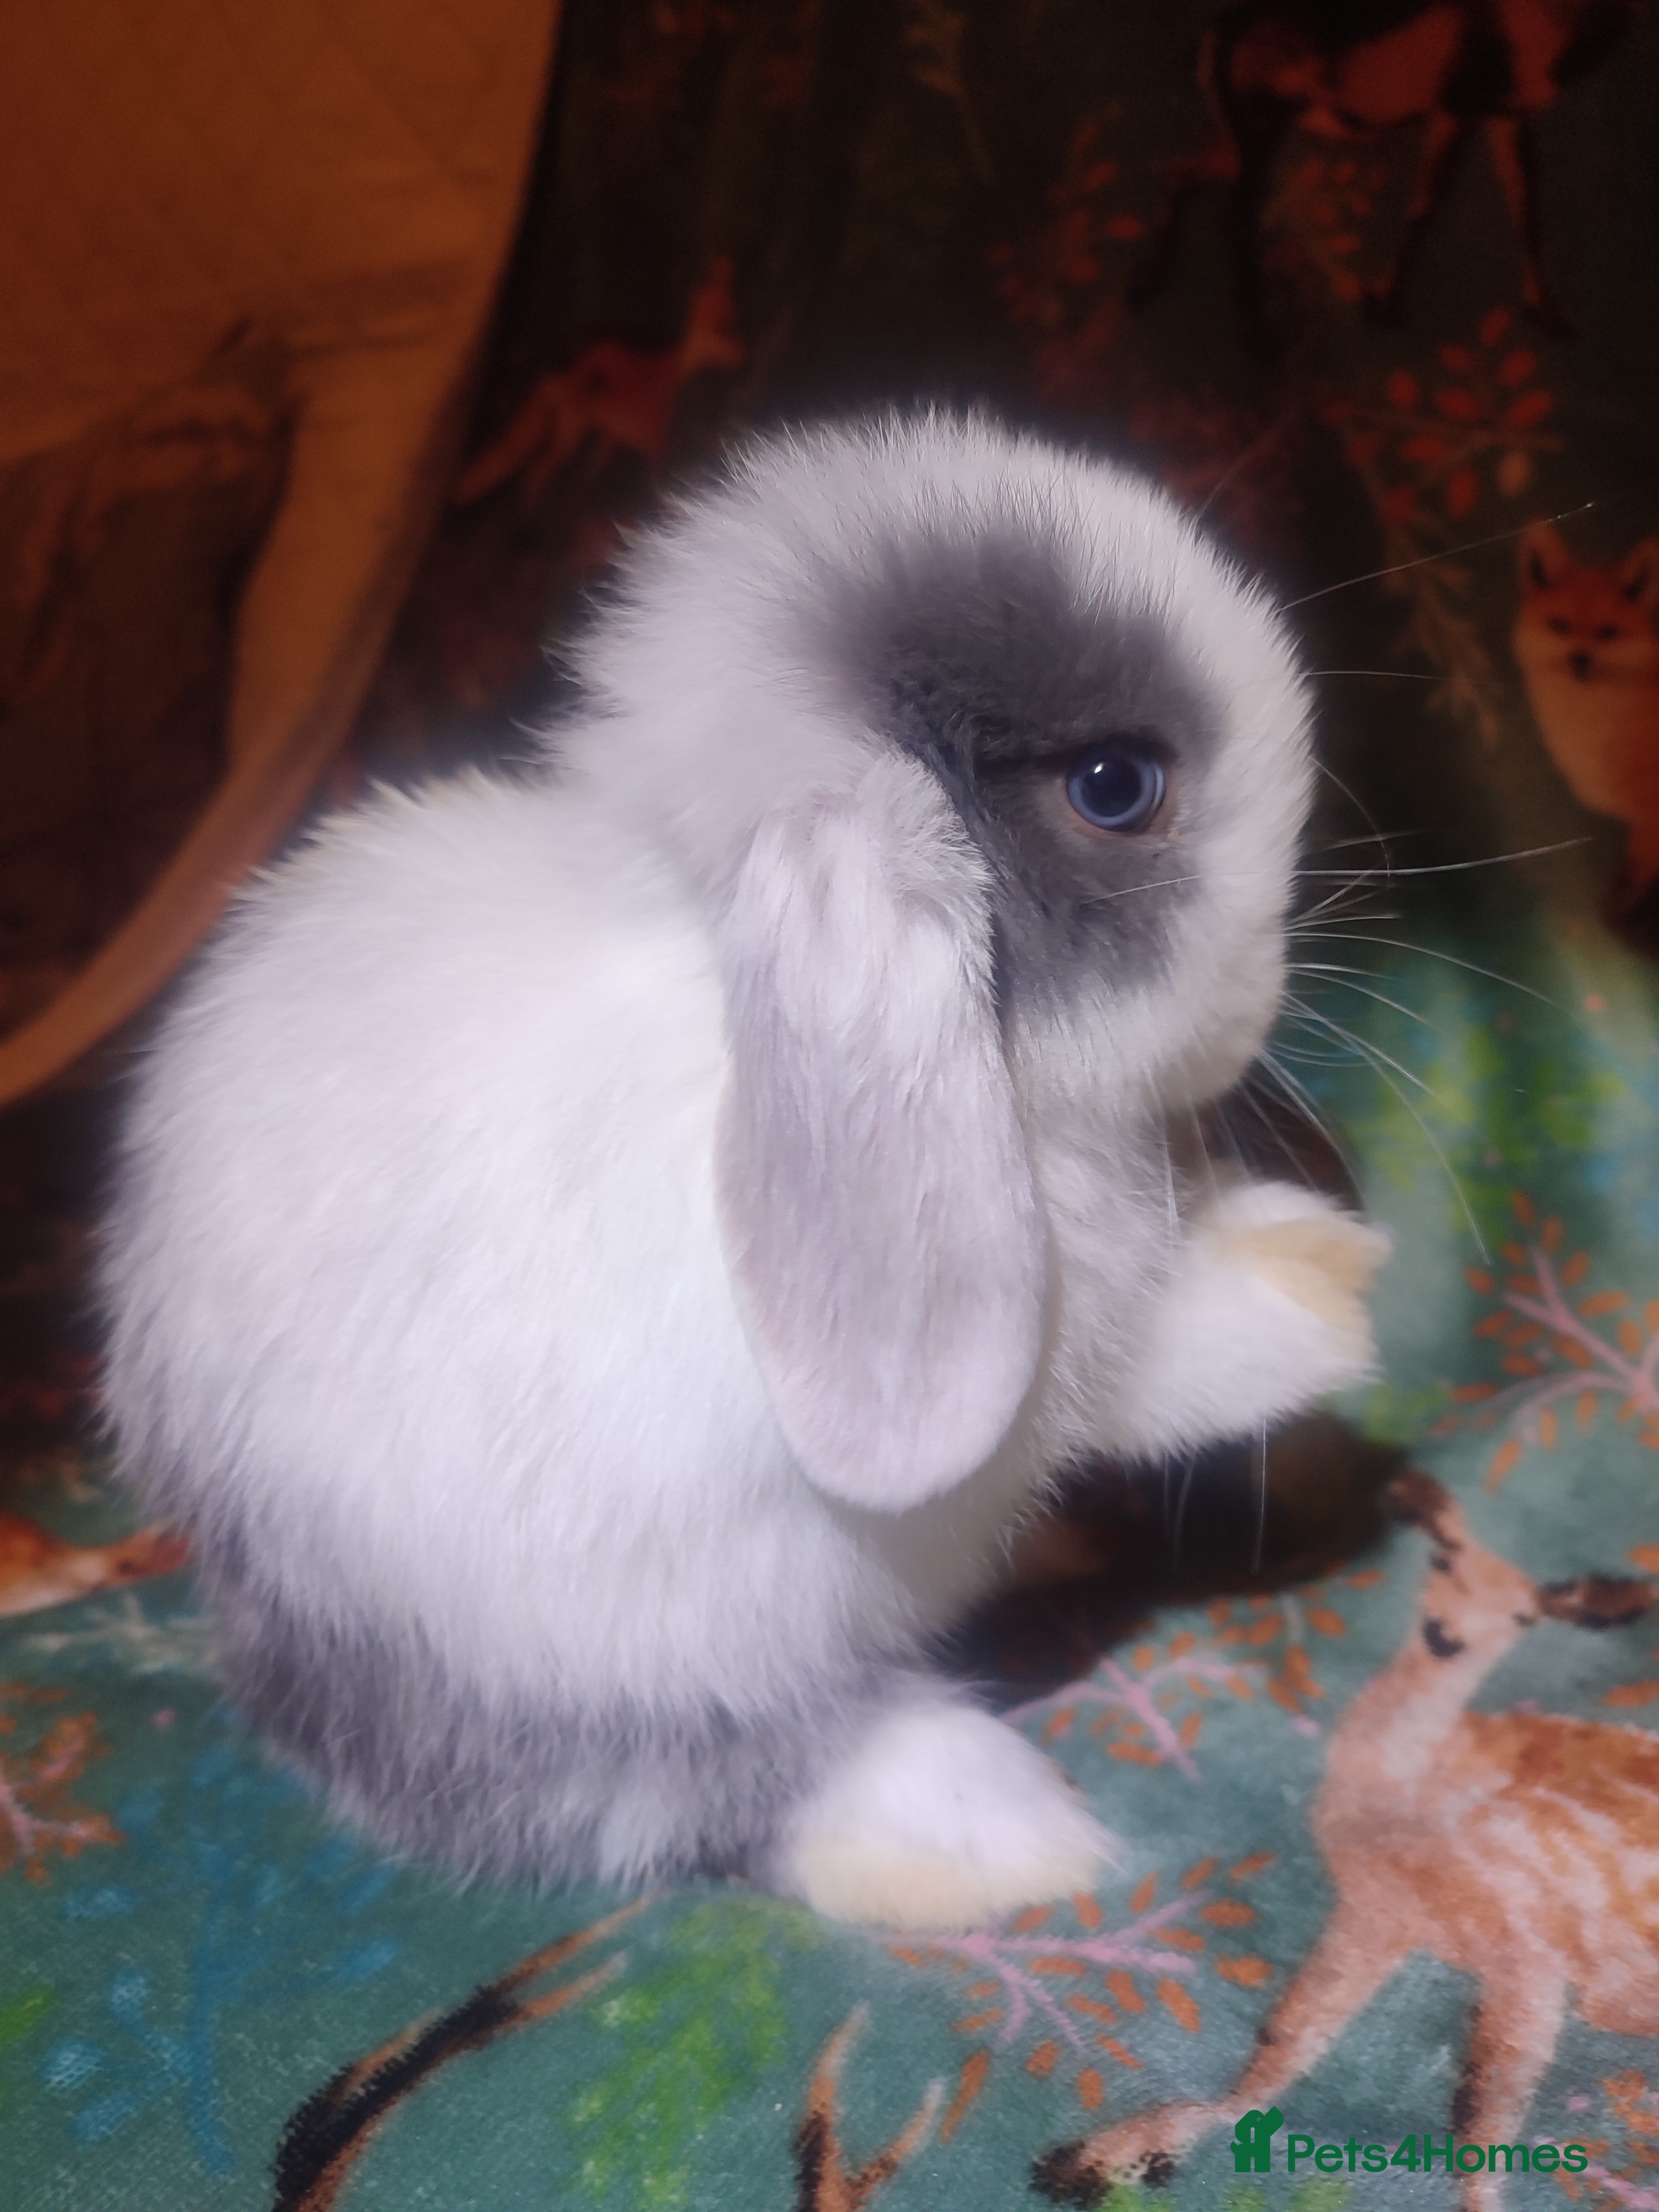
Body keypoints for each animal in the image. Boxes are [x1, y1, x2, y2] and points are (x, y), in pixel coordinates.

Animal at [99, 410, 1390, 1931]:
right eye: (1115, 789)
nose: (1259, 999)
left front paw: (1315, 1254)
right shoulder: (1007, 1379)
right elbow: (1125, 1380)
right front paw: (1321, 1303)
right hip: (588, 1650)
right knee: (670, 1778)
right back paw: (992, 1830)